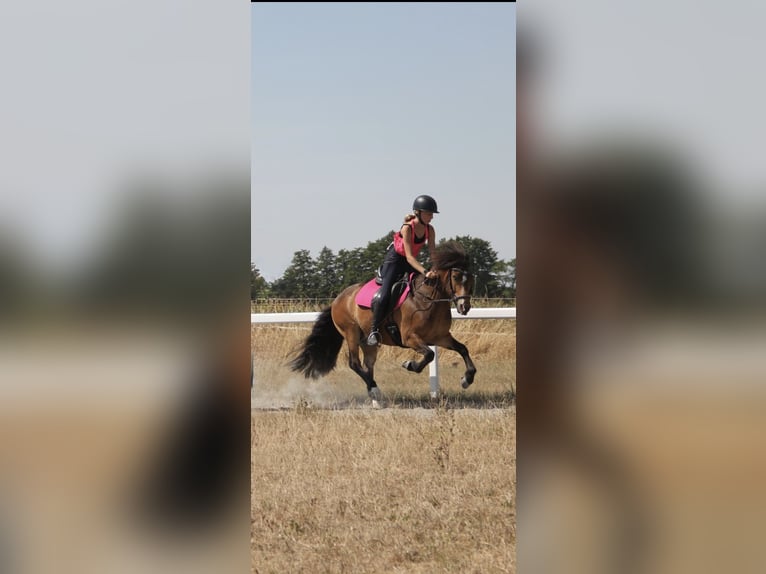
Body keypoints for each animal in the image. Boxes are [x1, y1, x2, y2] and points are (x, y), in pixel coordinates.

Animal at [289, 241, 477, 405]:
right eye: (455, 277)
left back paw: (375, 398)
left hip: (367, 341)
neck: (429, 300)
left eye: (471, 278)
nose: (464, 307)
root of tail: (338, 299)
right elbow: (429, 354)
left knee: (368, 366)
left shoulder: (440, 337)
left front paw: (467, 379)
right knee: (354, 363)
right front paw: (410, 365)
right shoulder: (410, 338)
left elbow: (463, 349)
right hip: (351, 333)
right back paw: (375, 390)